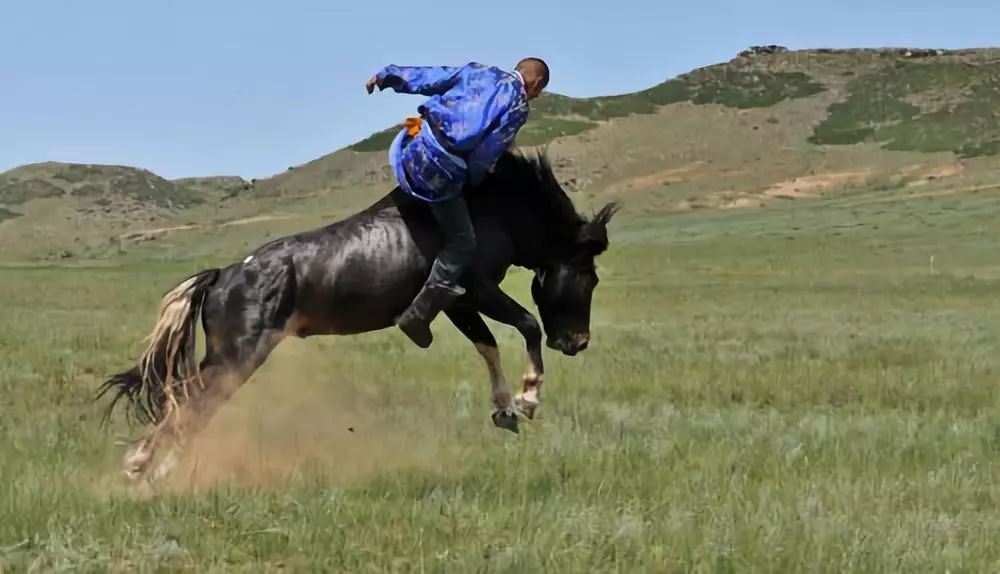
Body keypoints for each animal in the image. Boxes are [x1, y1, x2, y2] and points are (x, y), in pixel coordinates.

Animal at [99, 147, 616, 482]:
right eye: (589, 278)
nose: (578, 342)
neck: (490, 211)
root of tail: (224, 275)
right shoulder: (479, 290)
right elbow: (527, 324)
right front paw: (528, 399)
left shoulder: (457, 303)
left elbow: (487, 346)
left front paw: (505, 410)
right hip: (237, 357)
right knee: (188, 402)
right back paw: (146, 467)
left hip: (230, 359)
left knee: (190, 404)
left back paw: (157, 470)